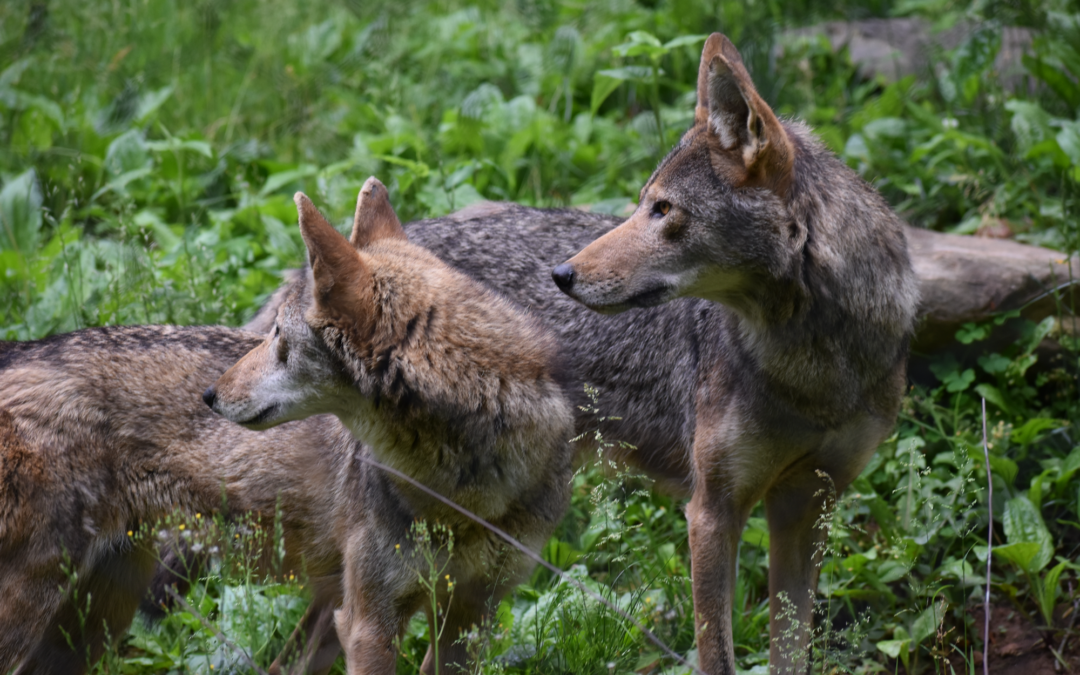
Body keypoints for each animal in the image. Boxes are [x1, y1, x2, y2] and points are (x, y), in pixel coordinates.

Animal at [0, 179, 574, 675]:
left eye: (277, 334)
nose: (209, 395)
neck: (467, 487)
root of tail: (18, 351)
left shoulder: (471, 619)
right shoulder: (367, 623)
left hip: (94, 623)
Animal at [248, 34, 917, 673]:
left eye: (663, 210)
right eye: (642, 202)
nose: (562, 275)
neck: (815, 369)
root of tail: (309, 275)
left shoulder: (807, 508)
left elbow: (791, 651)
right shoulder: (712, 512)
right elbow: (718, 655)